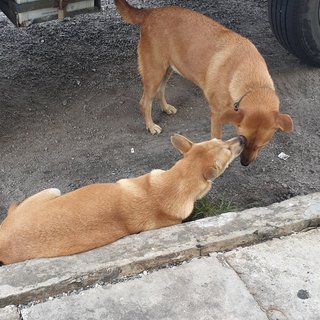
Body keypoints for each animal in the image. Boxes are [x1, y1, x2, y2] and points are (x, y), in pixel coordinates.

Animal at [0, 134, 245, 264]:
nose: (242, 138)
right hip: (54, 189)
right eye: (227, 150)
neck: (174, 182)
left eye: (220, 140)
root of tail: (4, 240)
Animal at [114, 0, 292, 165]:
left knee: (160, 91)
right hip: (154, 72)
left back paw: (165, 108)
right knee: (144, 102)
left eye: (262, 145)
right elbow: (217, 137)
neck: (251, 80)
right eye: (243, 138)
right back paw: (151, 126)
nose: (244, 163)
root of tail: (151, 12)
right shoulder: (217, 115)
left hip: (167, 70)